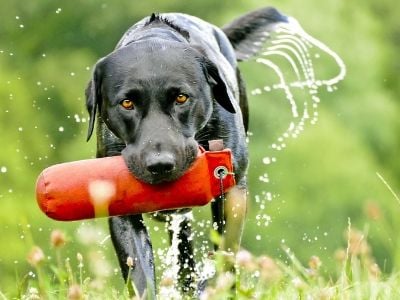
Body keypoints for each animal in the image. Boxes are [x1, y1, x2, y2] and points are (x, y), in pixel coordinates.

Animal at [85, 5, 288, 296]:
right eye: (127, 103)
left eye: (181, 98)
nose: (160, 165)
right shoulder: (121, 209)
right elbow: (139, 273)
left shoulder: (233, 190)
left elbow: (225, 252)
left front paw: (214, 285)